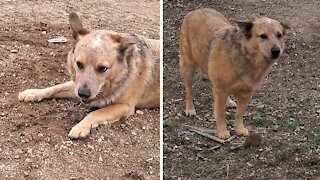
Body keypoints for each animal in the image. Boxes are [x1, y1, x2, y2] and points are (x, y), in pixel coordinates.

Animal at [17, 13, 160, 139]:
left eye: (103, 68)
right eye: (79, 64)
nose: (83, 94)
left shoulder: (125, 106)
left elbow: (96, 113)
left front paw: (81, 126)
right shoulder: (77, 85)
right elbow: (55, 88)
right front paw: (33, 93)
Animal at [180, 8, 290, 139]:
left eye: (279, 35)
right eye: (262, 36)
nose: (276, 51)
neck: (246, 56)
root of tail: (197, 10)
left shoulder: (246, 94)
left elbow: (239, 113)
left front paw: (239, 129)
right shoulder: (220, 90)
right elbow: (220, 114)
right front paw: (222, 131)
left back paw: (228, 101)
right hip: (188, 66)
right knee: (188, 89)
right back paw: (190, 109)